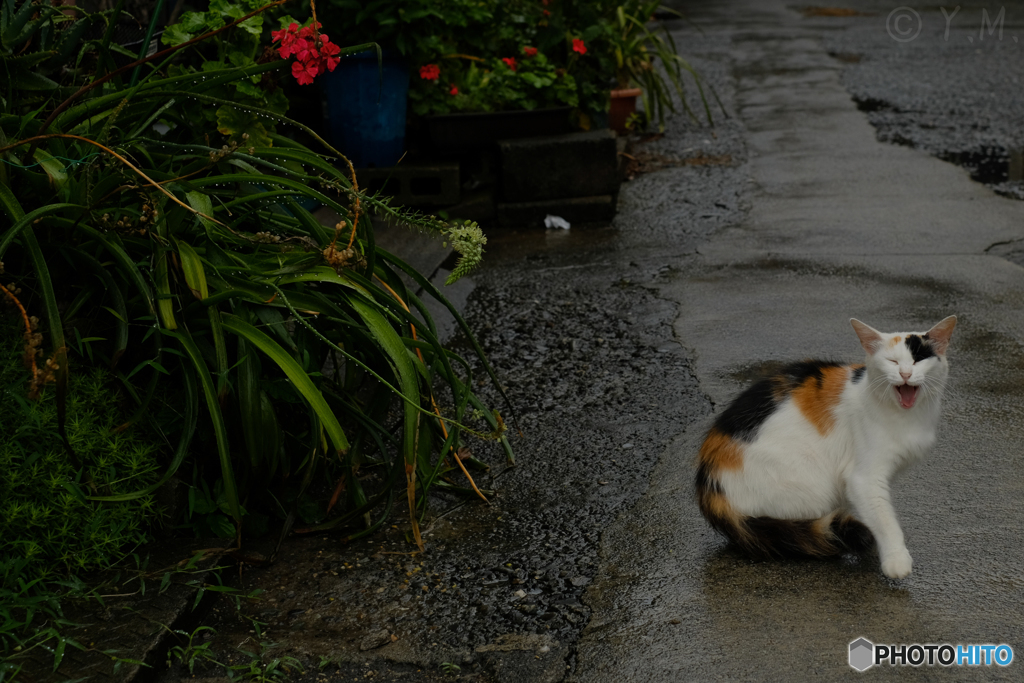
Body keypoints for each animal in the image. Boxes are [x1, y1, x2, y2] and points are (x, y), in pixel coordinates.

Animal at [700, 317, 954, 581]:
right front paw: (895, 558)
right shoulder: (864, 478)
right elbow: (884, 517)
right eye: (892, 361)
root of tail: (708, 484)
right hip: (811, 485)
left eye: (917, 360)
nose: (905, 373)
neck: (905, 415)